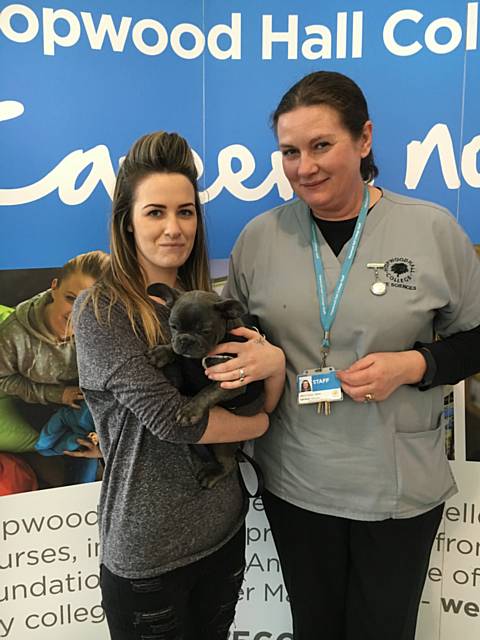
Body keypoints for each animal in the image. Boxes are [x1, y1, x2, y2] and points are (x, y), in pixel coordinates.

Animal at [148, 282, 264, 488]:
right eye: (173, 326)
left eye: (205, 331)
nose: (186, 340)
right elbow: (175, 350)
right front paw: (162, 352)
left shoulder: (231, 381)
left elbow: (208, 392)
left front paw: (190, 411)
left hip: (222, 444)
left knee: (229, 464)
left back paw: (213, 473)